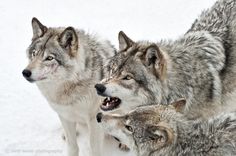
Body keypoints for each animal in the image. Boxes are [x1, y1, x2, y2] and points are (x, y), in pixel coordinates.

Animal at [22, 17, 116, 156]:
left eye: (49, 58)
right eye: (34, 53)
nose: (25, 72)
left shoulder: (95, 120)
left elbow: (94, 147)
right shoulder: (65, 115)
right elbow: (72, 146)